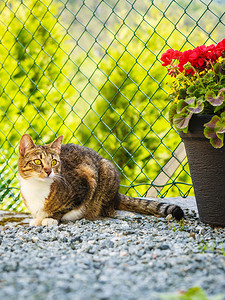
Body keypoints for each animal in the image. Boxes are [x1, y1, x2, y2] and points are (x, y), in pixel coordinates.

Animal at [18, 135, 184, 226]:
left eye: (54, 162)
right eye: (37, 161)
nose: (48, 171)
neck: (36, 188)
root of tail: (117, 194)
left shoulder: (86, 180)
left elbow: (63, 209)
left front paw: (50, 219)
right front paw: (38, 218)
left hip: (107, 169)